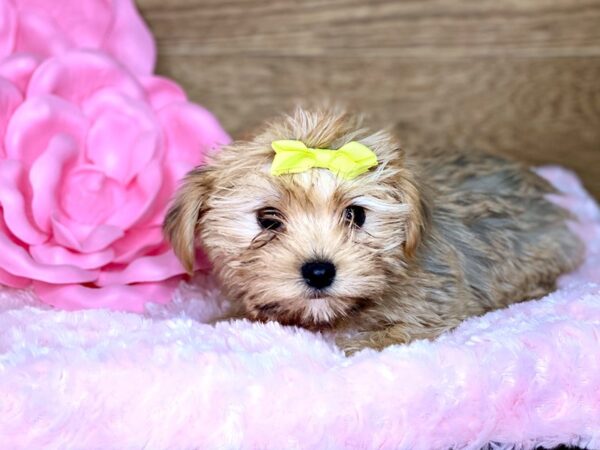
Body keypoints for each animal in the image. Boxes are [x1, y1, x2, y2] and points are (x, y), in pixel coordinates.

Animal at [162, 107, 584, 354]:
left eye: (356, 215)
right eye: (267, 219)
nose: (319, 271)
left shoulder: (435, 304)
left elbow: (395, 333)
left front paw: (353, 344)